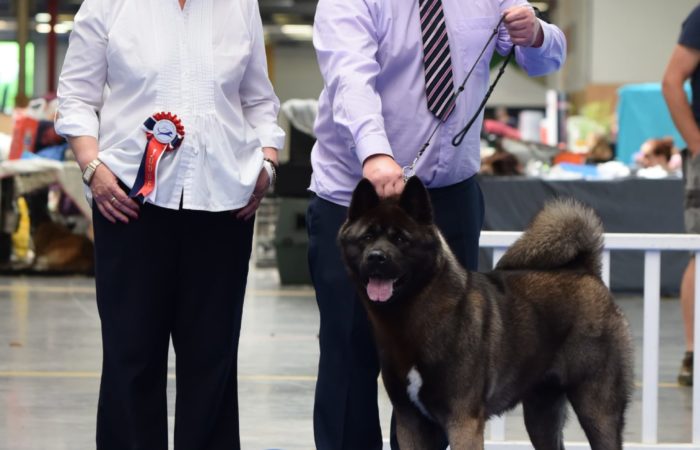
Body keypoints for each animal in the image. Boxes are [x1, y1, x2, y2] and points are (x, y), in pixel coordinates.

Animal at [340, 177, 636, 450]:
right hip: (541, 411)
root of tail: (585, 270)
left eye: (401, 239)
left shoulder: (463, 421)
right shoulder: (409, 419)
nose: (376, 256)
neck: (416, 314)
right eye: (367, 237)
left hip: (597, 407)